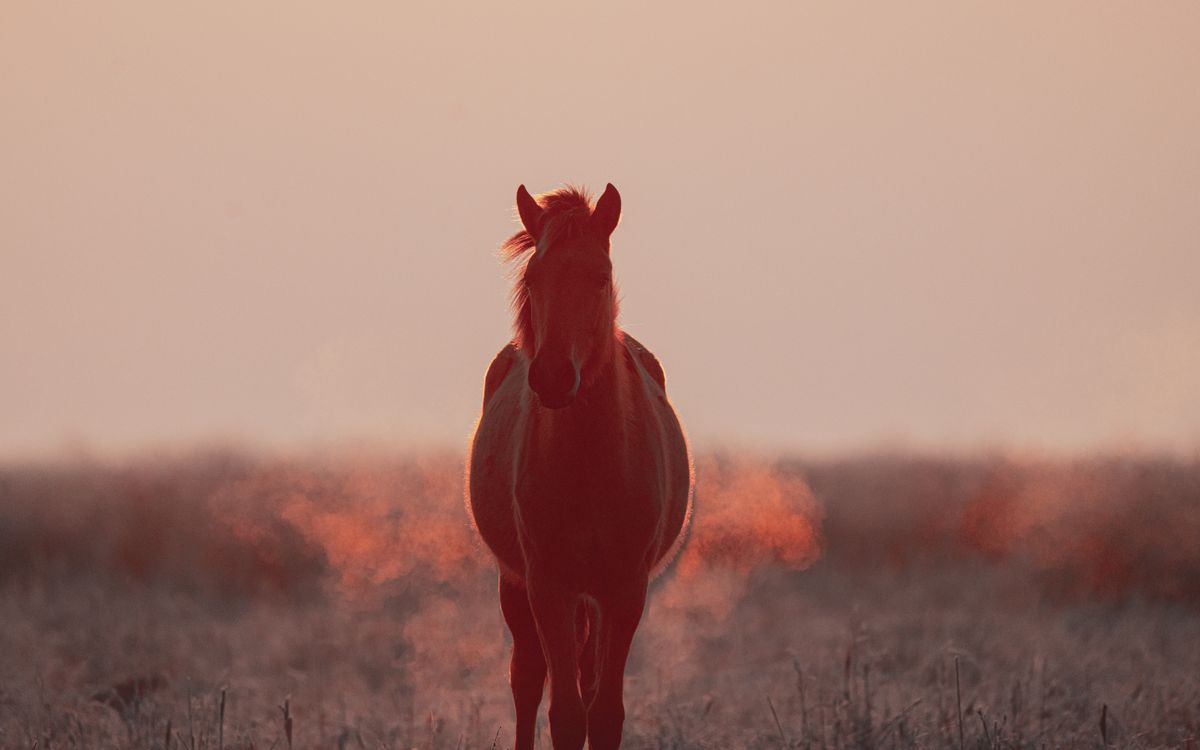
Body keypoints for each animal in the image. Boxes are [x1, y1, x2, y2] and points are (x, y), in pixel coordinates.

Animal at [467, 183, 693, 750]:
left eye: (600, 277)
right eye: (532, 278)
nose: (550, 376)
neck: (590, 466)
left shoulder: (625, 590)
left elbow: (604, 711)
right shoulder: (548, 585)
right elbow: (565, 713)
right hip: (517, 586)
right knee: (527, 680)